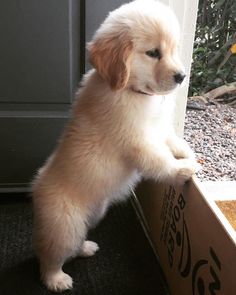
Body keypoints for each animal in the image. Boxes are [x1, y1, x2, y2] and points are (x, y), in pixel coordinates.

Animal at [31, 0, 199, 292]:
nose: (182, 76)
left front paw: (186, 151)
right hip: (64, 225)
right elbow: (160, 161)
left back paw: (85, 248)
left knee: (71, 245)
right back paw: (56, 279)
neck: (132, 91)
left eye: (173, 49)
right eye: (153, 53)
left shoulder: (158, 129)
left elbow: (169, 139)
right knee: (50, 255)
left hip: (91, 216)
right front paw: (182, 170)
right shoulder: (137, 142)